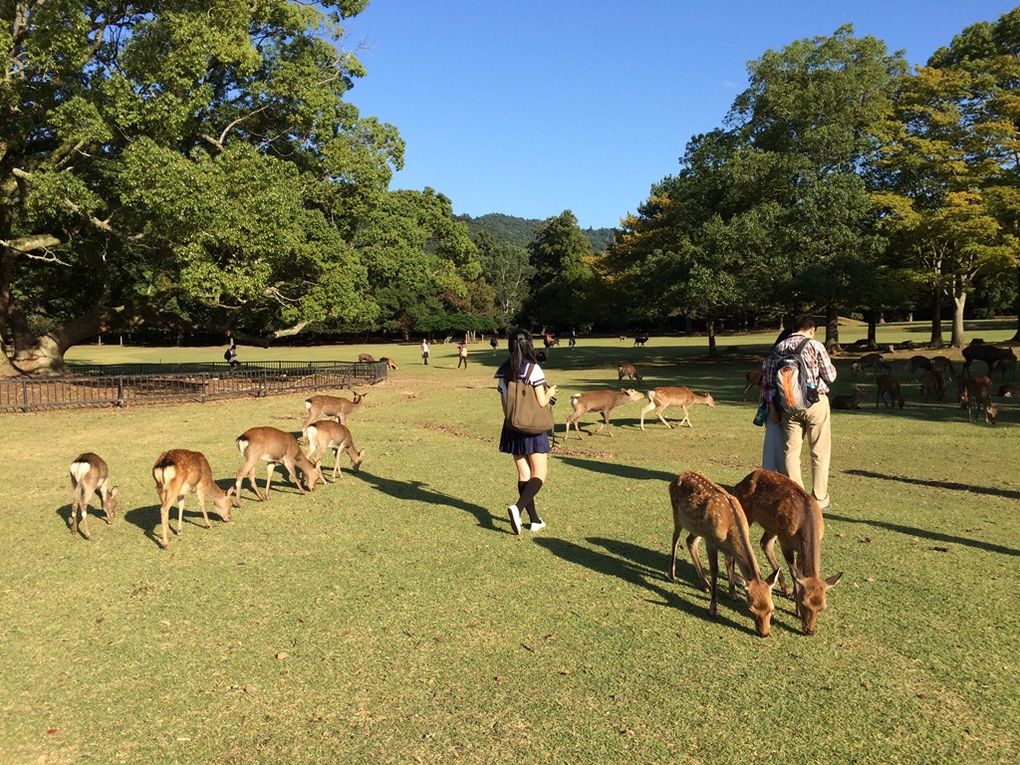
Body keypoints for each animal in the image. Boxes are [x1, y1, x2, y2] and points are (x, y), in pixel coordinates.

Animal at [665, 473, 783, 640]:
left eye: (771, 609)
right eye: (751, 609)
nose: (764, 633)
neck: (730, 526)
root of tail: (676, 478)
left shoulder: (727, 548)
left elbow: (729, 565)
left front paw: (733, 593)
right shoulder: (711, 540)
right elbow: (715, 570)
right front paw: (713, 608)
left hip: (698, 528)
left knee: (690, 541)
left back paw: (705, 584)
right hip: (677, 513)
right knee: (675, 538)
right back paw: (672, 574)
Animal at [734, 471, 844, 636]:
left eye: (822, 607)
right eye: (805, 604)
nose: (809, 631)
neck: (805, 522)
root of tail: (741, 481)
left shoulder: (798, 547)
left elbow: (799, 571)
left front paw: (791, 594)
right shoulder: (786, 542)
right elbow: (794, 574)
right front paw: (796, 609)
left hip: (773, 527)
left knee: (765, 543)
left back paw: (782, 588)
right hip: (748, 512)